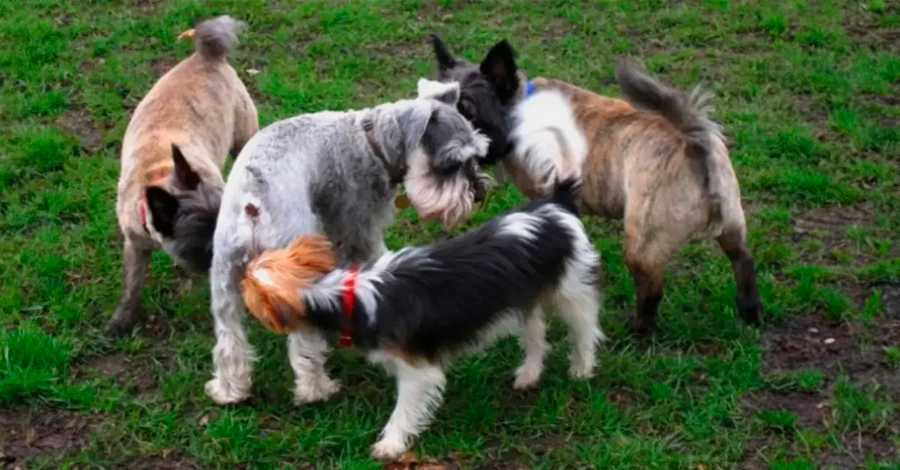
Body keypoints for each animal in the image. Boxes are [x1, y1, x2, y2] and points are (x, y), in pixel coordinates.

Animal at [107, 15, 260, 338]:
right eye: (208, 244)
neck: (159, 173)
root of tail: (206, 56)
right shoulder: (135, 246)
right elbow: (133, 284)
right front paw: (124, 317)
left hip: (243, 136)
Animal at [243, 178, 600, 458]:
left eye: (247, 285)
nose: (240, 273)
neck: (345, 296)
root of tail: (556, 206)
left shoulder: (417, 372)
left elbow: (403, 409)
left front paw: (390, 444)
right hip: (524, 297)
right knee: (536, 333)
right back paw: (529, 373)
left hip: (571, 288)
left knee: (584, 327)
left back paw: (582, 368)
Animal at [432, 38, 764, 336]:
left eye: (469, 113)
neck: (518, 109)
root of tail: (693, 144)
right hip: (732, 223)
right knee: (743, 262)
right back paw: (751, 311)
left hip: (641, 243)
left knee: (651, 290)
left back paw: (638, 328)